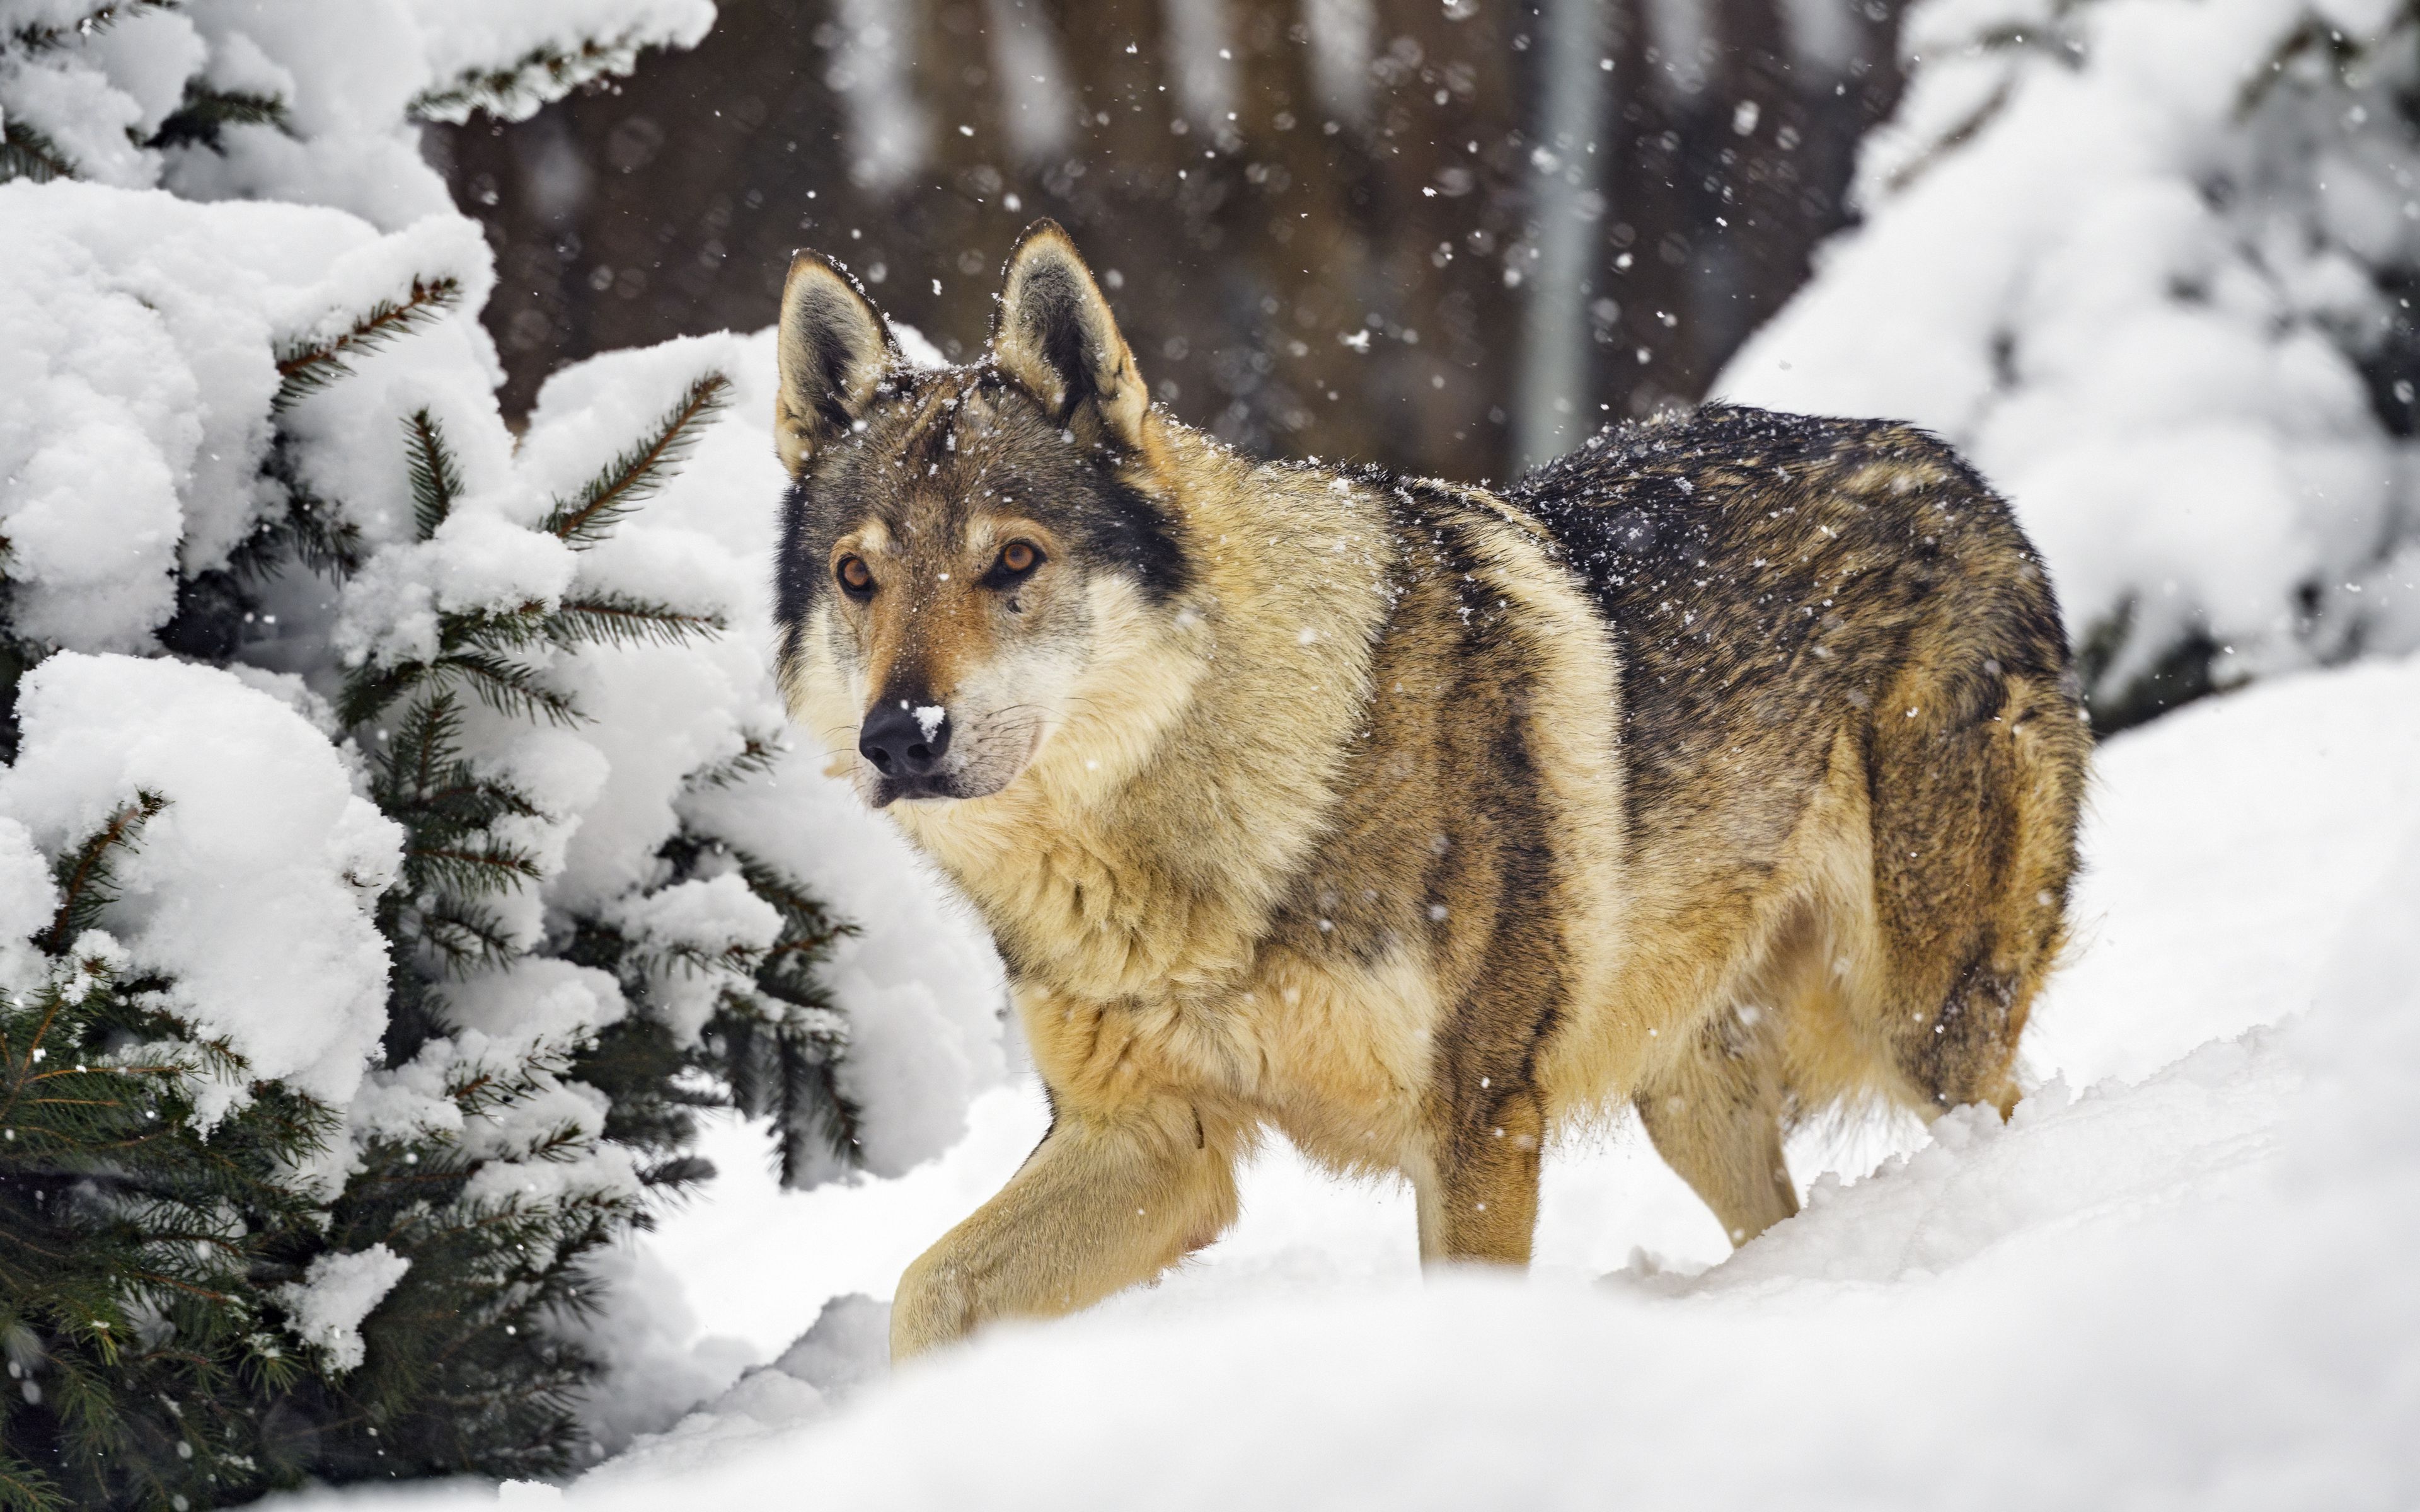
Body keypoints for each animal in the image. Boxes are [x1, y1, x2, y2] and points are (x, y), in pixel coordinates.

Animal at [770, 221, 2091, 1361]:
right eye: (857, 578)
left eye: (1014, 561)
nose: (901, 738)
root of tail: (1962, 472)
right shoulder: (1151, 1142)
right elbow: (926, 1293)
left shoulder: (1479, 1121)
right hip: (1691, 1097)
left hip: (1922, 1029)